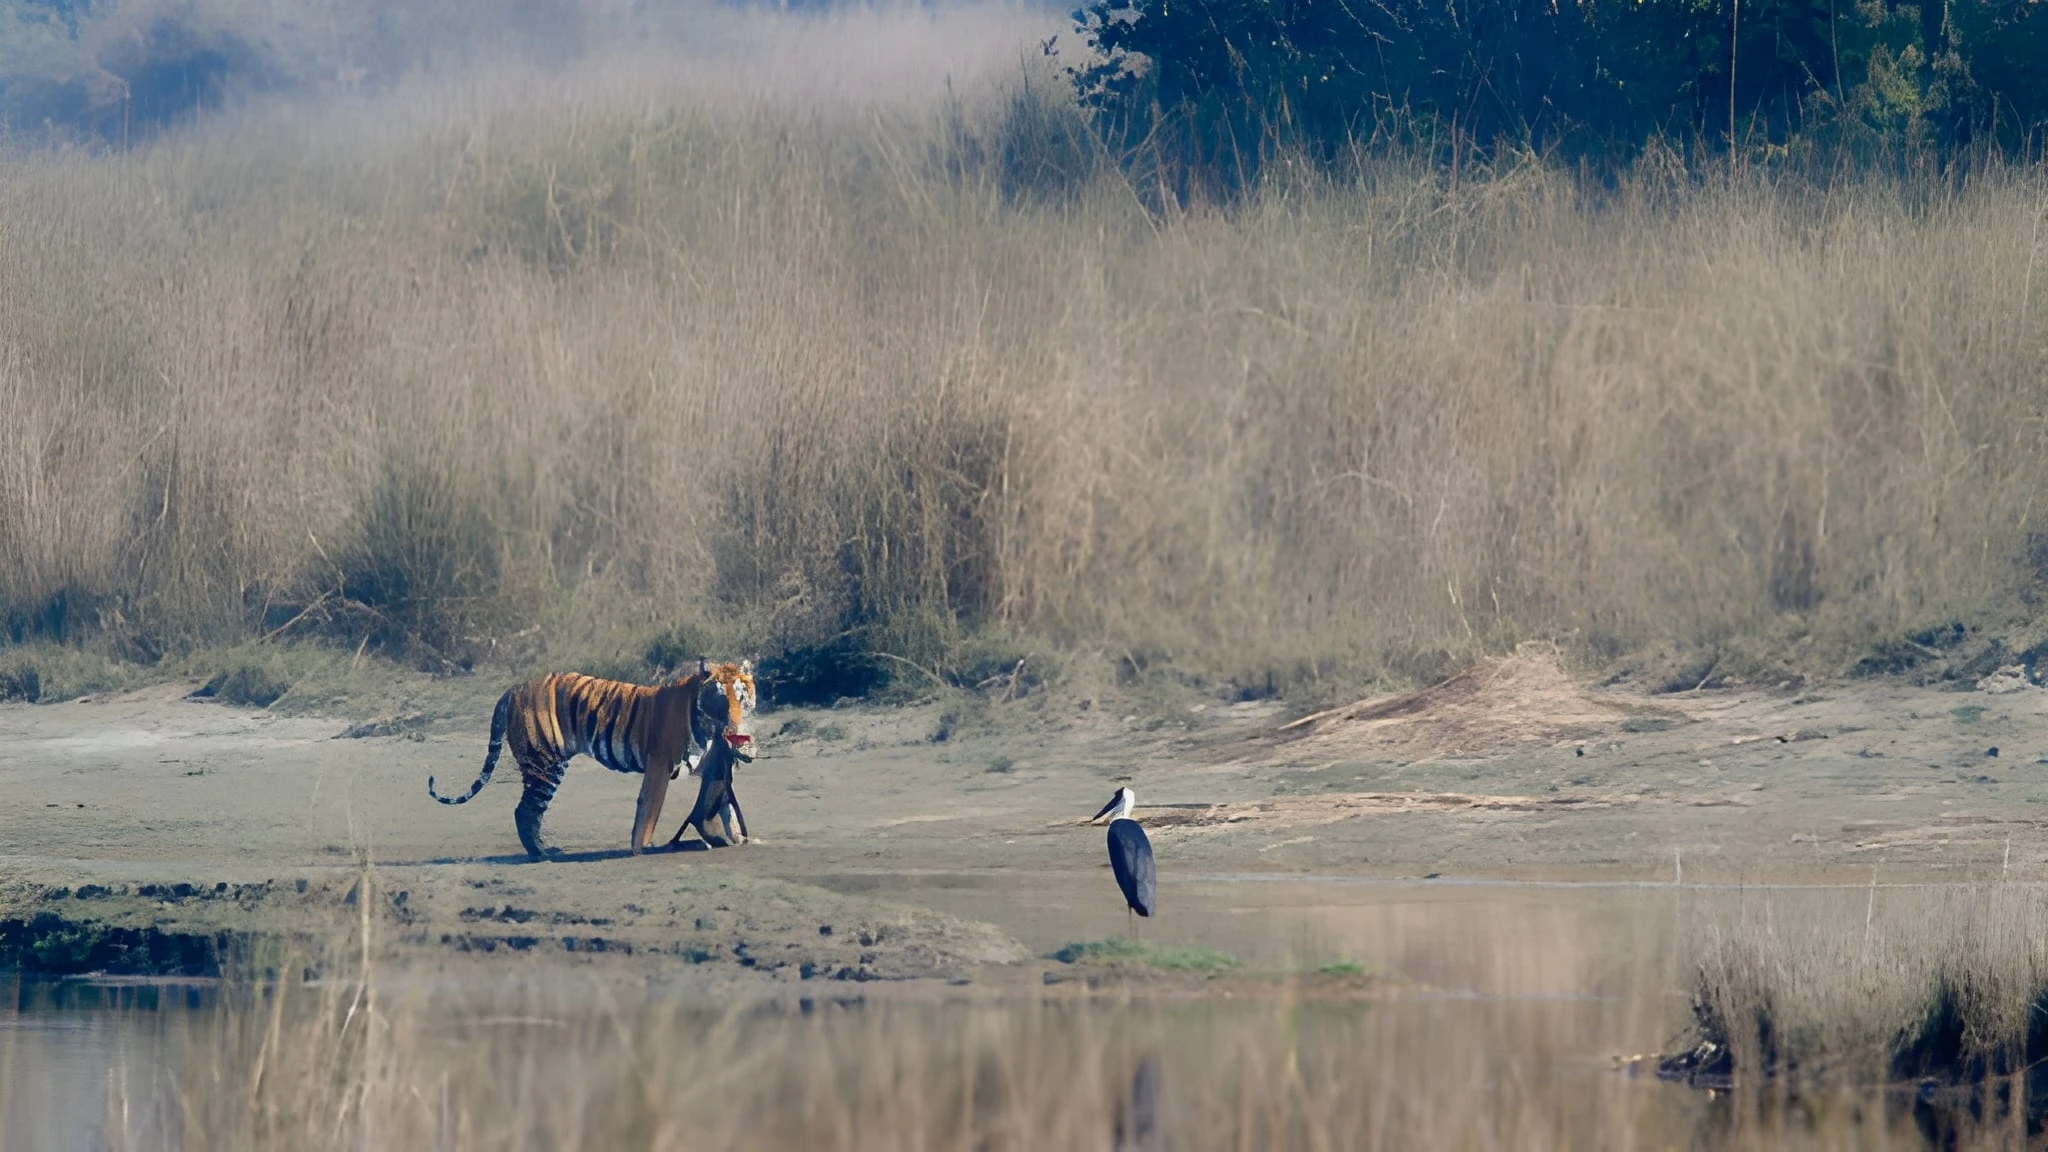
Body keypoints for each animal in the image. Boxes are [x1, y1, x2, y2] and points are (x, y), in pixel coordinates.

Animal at [428, 658, 757, 860]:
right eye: (718, 696)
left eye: (740, 696)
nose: (733, 727)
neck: (707, 726)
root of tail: (514, 688)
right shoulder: (659, 764)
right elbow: (649, 811)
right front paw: (644, 848)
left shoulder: (710, 765)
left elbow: (723, 805)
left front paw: (738, 838)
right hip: (543, 765)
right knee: (525, 811)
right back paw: (543, 855)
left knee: (528, 812)